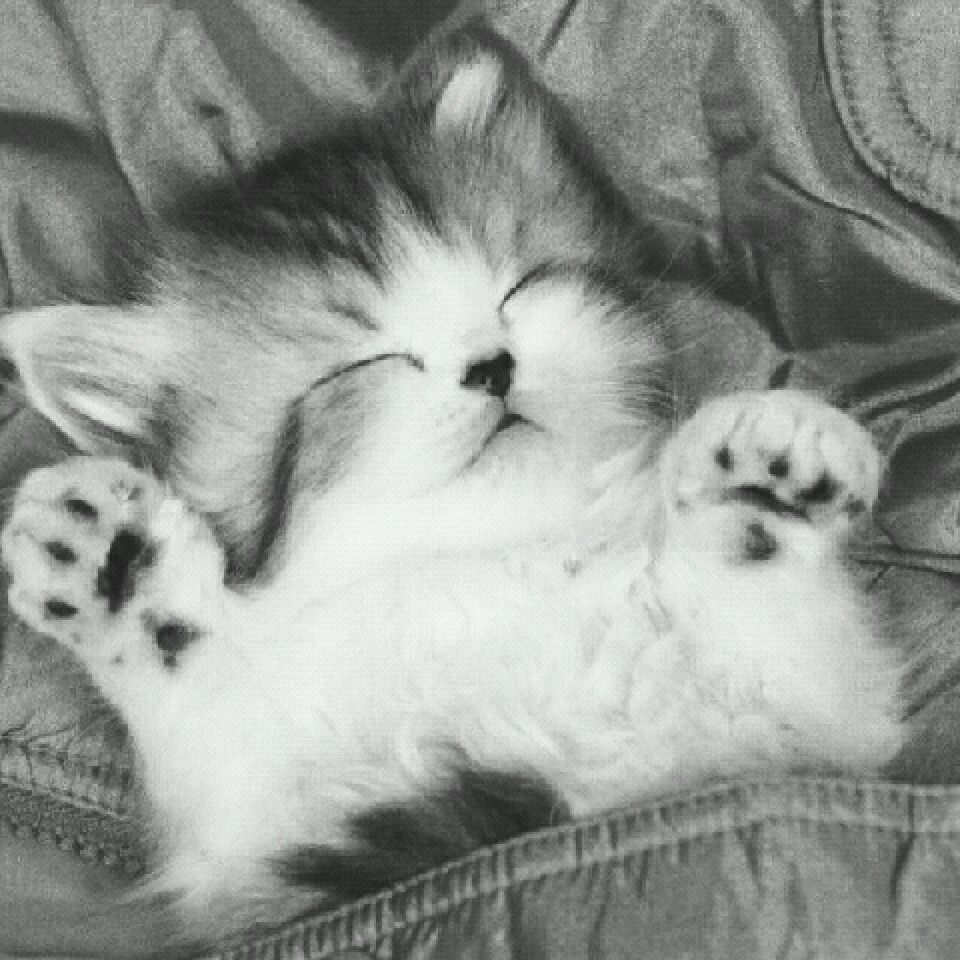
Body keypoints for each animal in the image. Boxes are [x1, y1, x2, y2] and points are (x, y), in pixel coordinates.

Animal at [0, 23, 905, 943]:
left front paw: (760, 498)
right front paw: (121, 569)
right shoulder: (260, 839)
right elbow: (211, 712)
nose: (491, 365)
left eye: (519, 287)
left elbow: (772, 646)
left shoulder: (810, 732)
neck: (509, 553)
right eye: (362, 363)